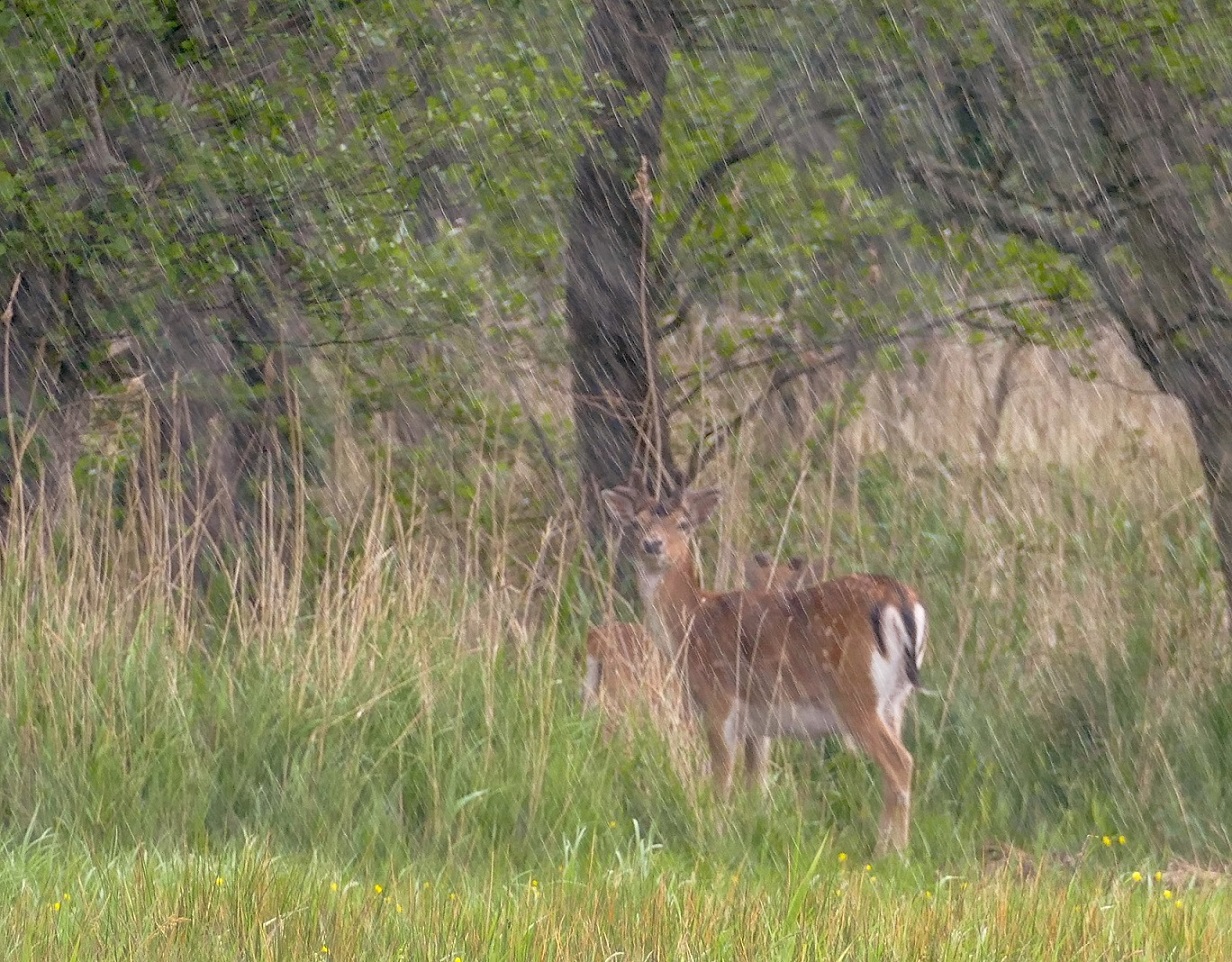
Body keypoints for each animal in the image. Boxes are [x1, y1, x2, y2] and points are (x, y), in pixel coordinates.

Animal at [596, 485, 926, 852]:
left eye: (683, 524)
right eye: (636, 524)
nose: (652, 545)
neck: (692, 625)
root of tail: (901, 600)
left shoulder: (720, 698)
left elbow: (722, 777)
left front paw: (716, 833)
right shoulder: (758, 722)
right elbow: (756, 781)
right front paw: (751, 827)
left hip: (856, 695)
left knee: (900, 762)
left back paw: (891, 853)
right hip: (896, 700)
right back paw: (892, 847)